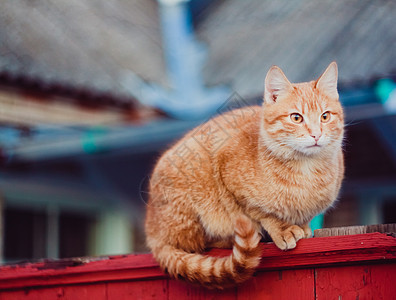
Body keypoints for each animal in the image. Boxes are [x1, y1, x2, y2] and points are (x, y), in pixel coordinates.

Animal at [145, 62, 344, 290]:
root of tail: (152, 231)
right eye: (296, 118)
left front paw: (302, 226)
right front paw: (283, 228)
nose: (316, 135)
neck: (306, 170)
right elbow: (261, 212)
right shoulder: (229, 177)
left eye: (325, 116)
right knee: (195, 244)